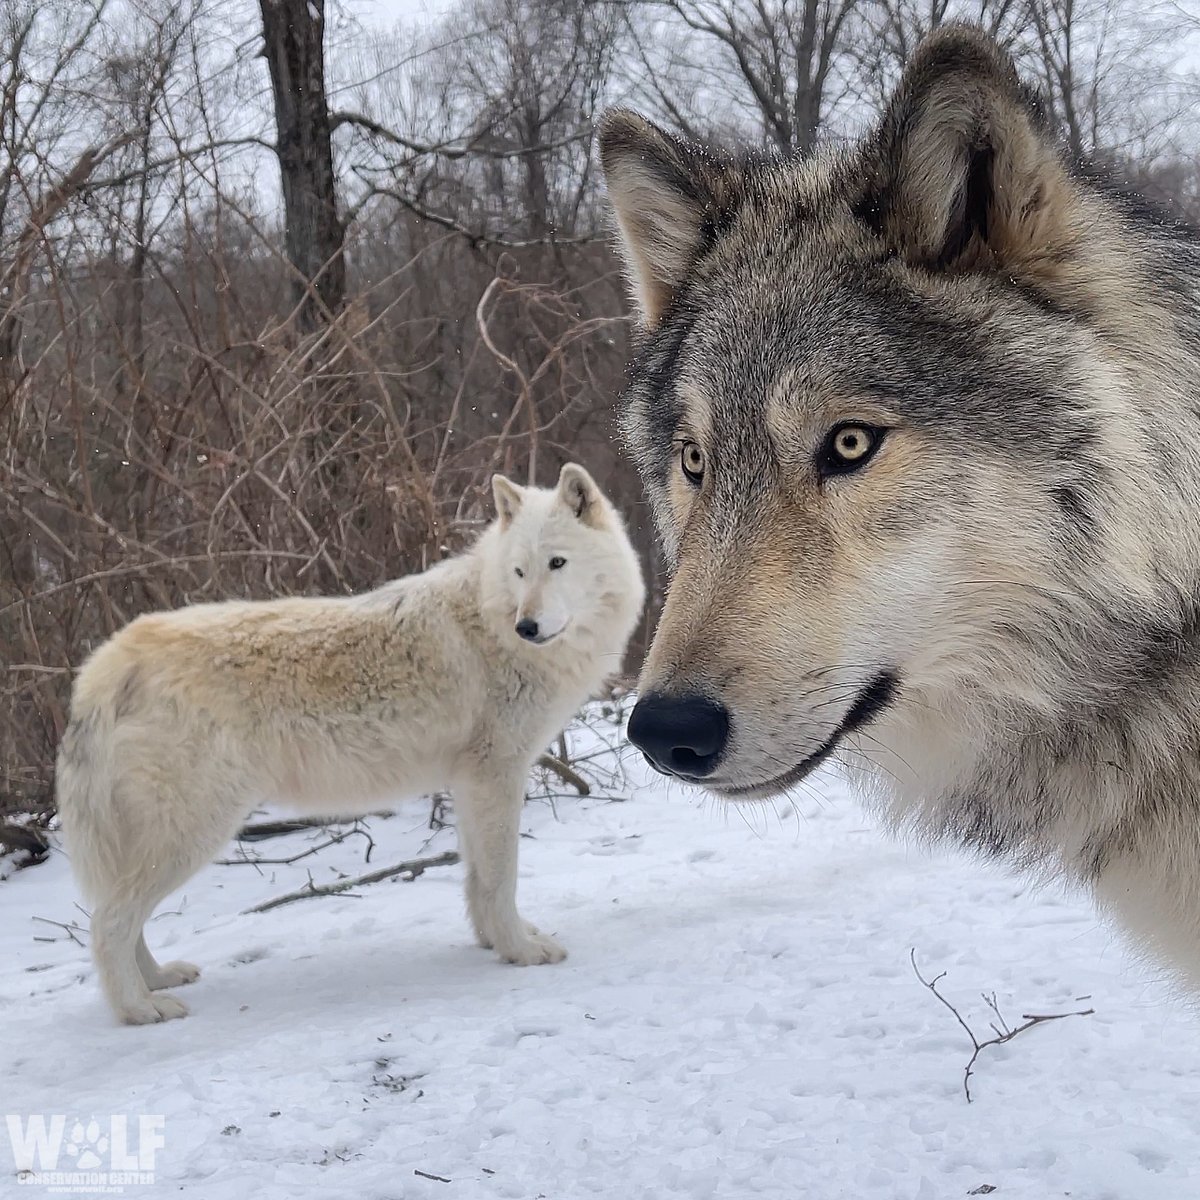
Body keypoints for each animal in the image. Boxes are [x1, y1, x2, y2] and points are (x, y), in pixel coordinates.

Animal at [57, 463, 645, 1024]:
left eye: (557, 563)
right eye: (520, 571)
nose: (527, 626)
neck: (490, 622)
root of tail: (105, 665)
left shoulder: (471, 784)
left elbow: (478, 879)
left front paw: (491, 943)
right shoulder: (496, 775)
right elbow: (502, 879)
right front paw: (520, 950)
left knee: (119, 920)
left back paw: (157, 981)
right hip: (193, 831)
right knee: (108, 923)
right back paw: (140, 1010)